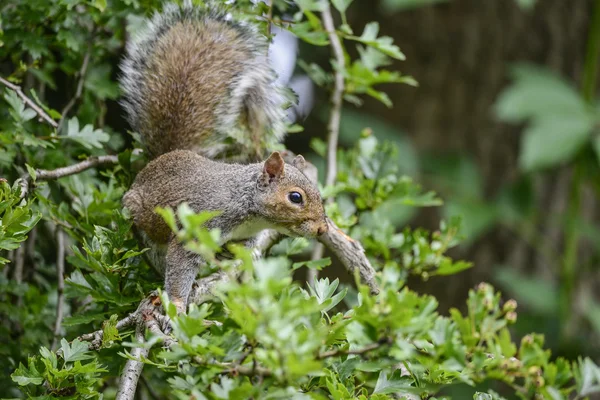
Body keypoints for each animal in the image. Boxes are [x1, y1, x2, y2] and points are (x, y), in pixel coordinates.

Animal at [119, 0, 328, 312]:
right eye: (295, 197)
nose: (323, 230)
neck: (248, 207)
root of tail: (159, 160)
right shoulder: (199, 224)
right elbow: (181, 260)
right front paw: (177, 303)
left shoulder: (246, 236)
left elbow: (244, 249)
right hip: (145, 222)